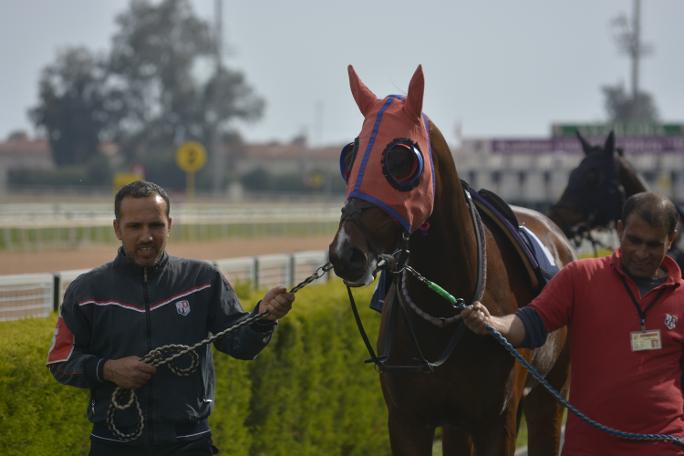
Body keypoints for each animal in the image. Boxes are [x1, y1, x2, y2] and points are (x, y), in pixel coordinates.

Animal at [328, 66, 576, 454]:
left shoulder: (496, 421)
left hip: (549, 394)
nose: (346, 253)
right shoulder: (407, 420)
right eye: (349, 158)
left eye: (401, 160)